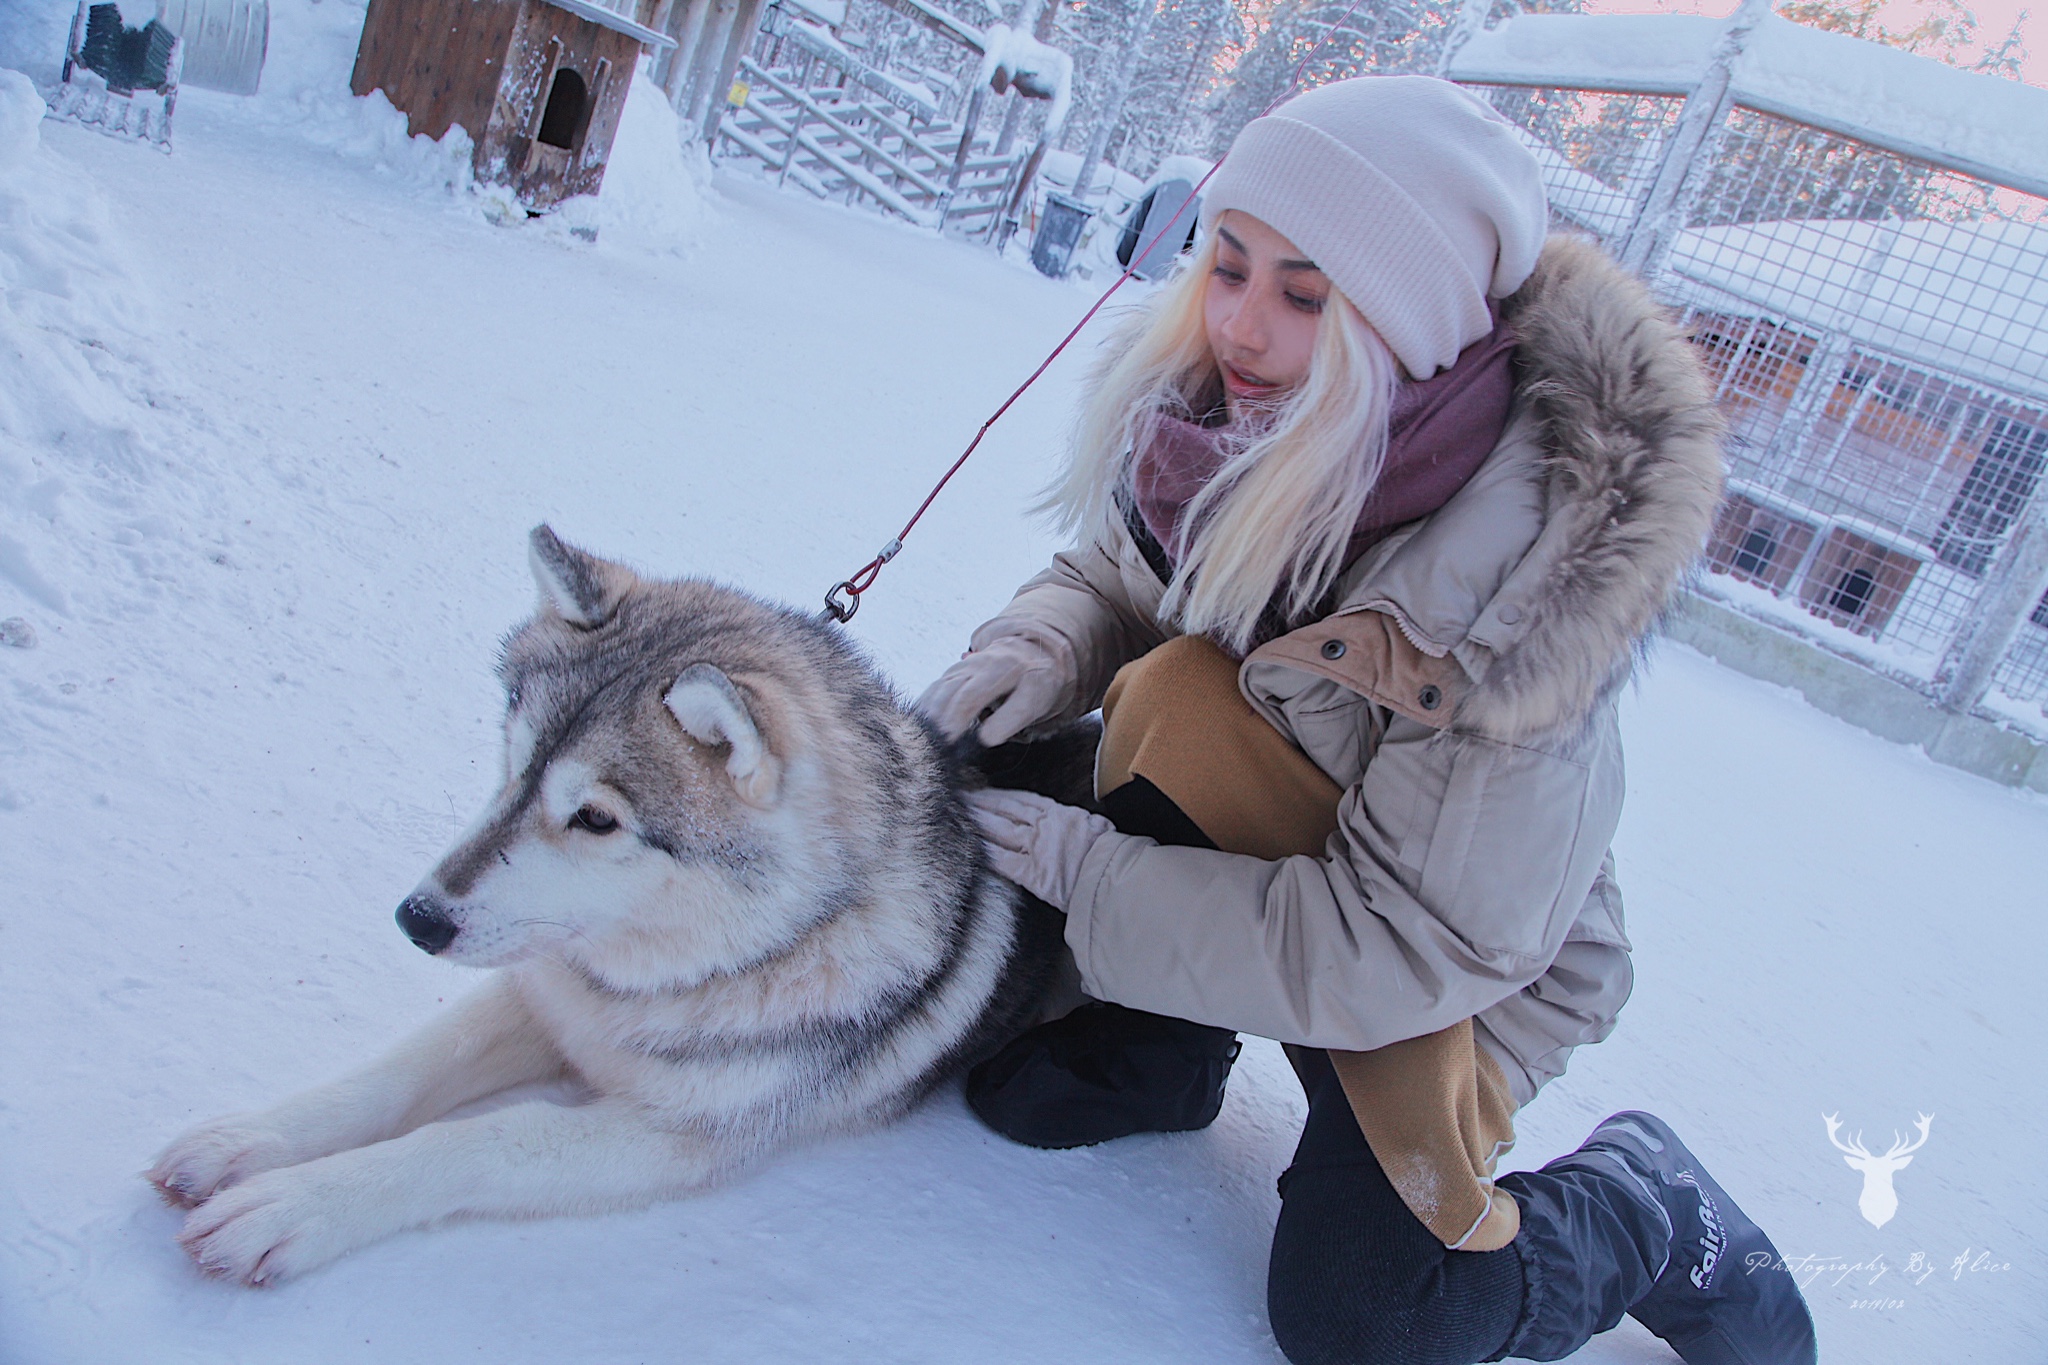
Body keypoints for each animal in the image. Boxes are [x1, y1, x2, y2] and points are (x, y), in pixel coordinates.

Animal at [148, 527, 1056, 1285]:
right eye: (513, 761)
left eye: (594, 818)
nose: (418, 919)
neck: (696, 970)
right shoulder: (546, 990)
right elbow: (402, 1072)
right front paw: (248, 1142)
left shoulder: (671, 1134)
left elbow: (475, 1138)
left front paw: (295, 1205)